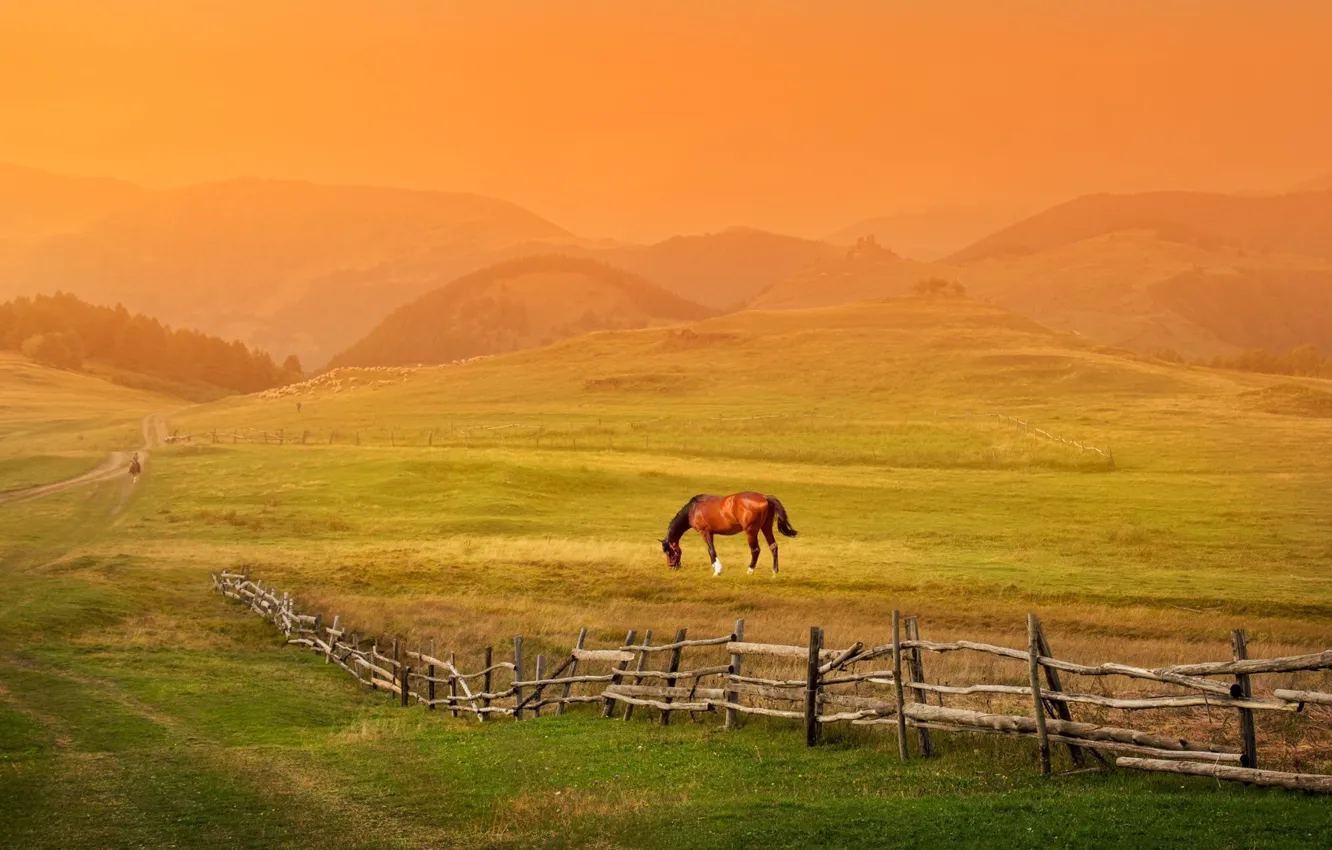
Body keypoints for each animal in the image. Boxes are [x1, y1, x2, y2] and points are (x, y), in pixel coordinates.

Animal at [659, 492, 798, 577]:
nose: (672, 567)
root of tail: (764, 497)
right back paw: (774, 573)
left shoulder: (705, 532)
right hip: (766, 527)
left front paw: (717, 571)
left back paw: (750, 570)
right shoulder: (711, 533)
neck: (693, 509)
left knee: (755, 550)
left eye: (669, 552)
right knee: (773, 546)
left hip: (751, 531)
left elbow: (711, 550)